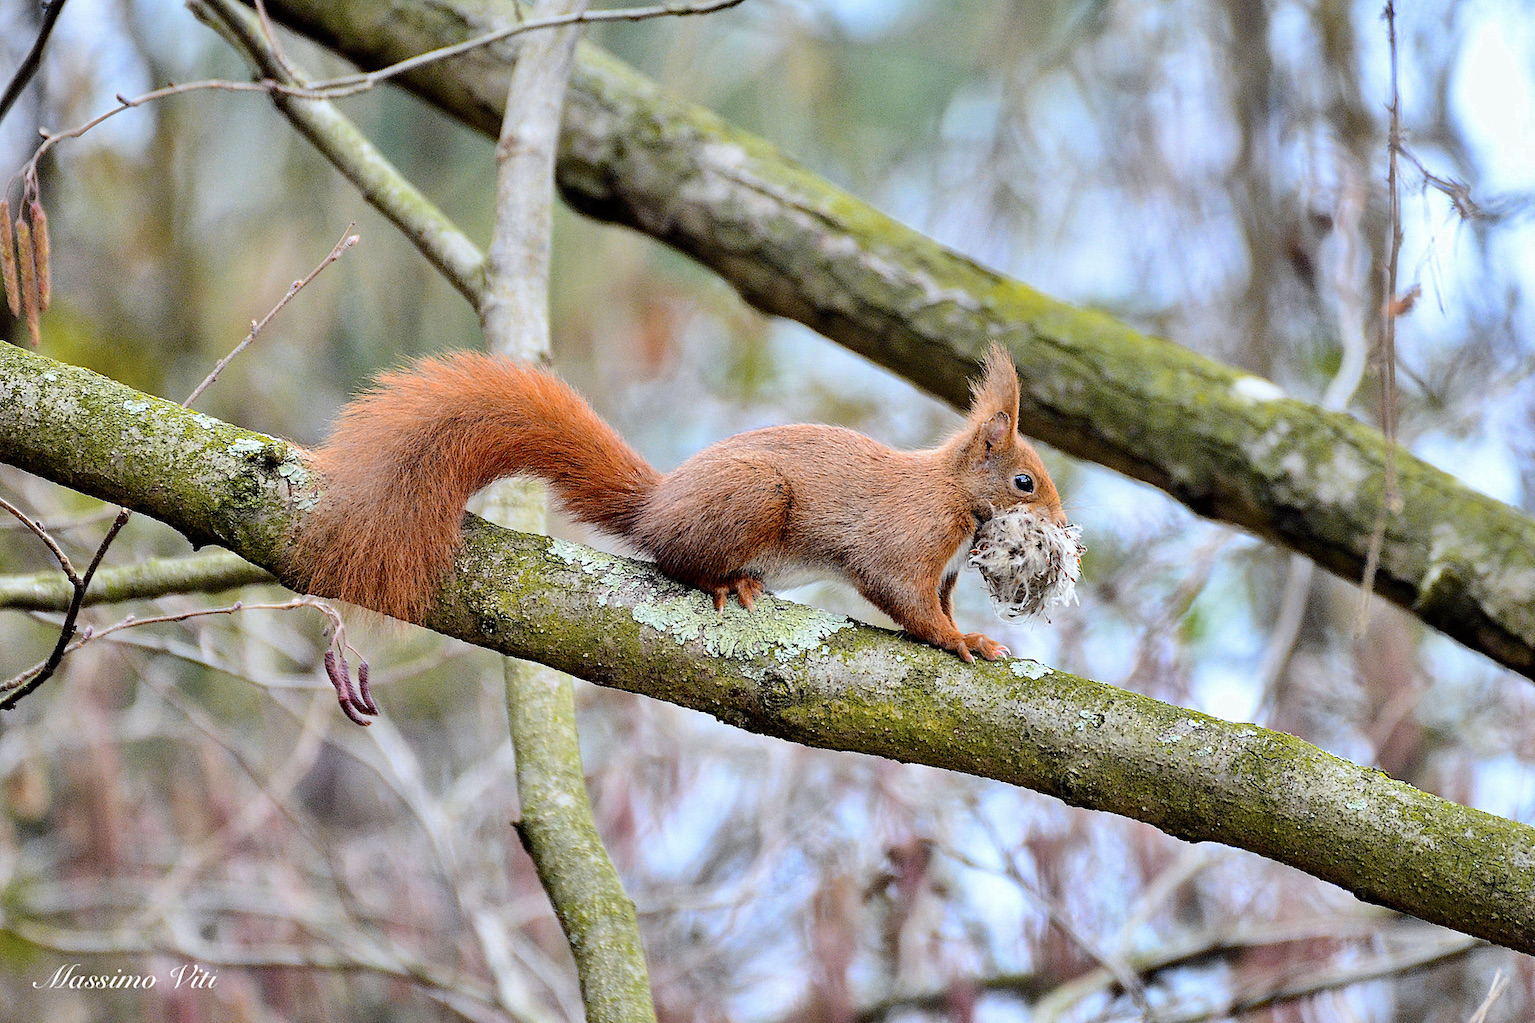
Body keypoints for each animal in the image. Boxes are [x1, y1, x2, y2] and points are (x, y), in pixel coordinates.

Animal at [294, 343, 1066, 663]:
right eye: (1025, 483)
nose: (1061, 524)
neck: (953, 494)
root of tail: (656, 505)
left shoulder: (947, 569)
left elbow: (940, 604)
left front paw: (974, 635)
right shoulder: (907, 540)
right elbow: (906, 601)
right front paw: (959, 643)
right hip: (754, 497)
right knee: (673, 558)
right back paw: (723, 582)